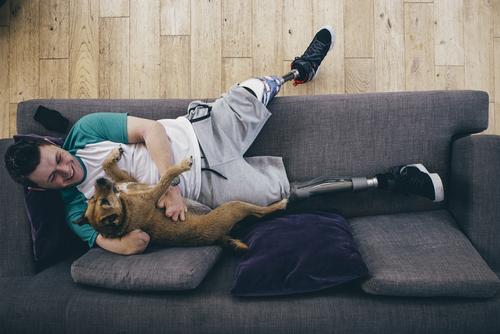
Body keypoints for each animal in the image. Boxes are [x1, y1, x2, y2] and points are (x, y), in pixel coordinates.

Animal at [76, 147, 288, 252]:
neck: (125, 209)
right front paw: (184, 165)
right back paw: (279, 204)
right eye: (104, 203)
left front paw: (113, 155)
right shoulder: (152, 195)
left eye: (94, 199)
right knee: (259, 212)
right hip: (233, 207)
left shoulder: (128, 180)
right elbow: (168, 174)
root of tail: (218, 238)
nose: (99, 181)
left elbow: (108, 166)